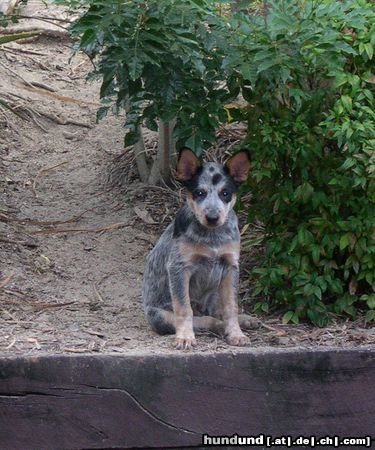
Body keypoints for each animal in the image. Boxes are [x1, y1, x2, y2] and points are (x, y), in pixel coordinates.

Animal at [142, 149, 254, 350]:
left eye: (225, 193)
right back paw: (216, 326)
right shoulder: (179, 267)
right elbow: (184, 309)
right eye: (199, 193)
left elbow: (231, 307)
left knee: (217, 312)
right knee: (202, 319)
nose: (212, 217)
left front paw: (236, 334)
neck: (212, 237)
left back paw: (243, 320)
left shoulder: (231, 266)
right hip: (160, 316)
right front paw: (185, 338)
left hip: (217, 290)